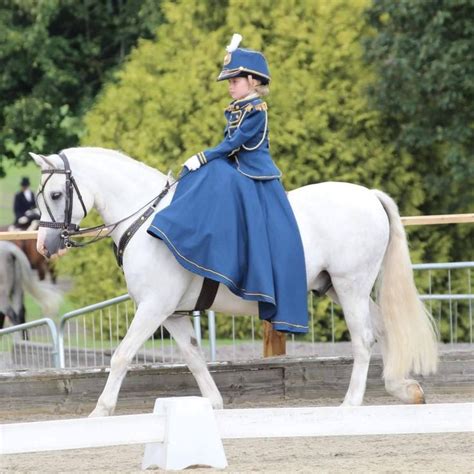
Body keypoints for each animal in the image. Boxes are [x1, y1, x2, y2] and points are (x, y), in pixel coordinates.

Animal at [28, 147, 436, 414]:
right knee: (384, 329)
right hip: (340, 289)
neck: (146, 218)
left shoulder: (153, 307)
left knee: (364, 339)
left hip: (351, 286)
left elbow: (122, 355)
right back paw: (404, 390)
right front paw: (214, 402)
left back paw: (351, 403)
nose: (45, 246)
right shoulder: (170, 314)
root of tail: (369, 195)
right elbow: (193, 357)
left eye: (56, 194)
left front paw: (101, 411)